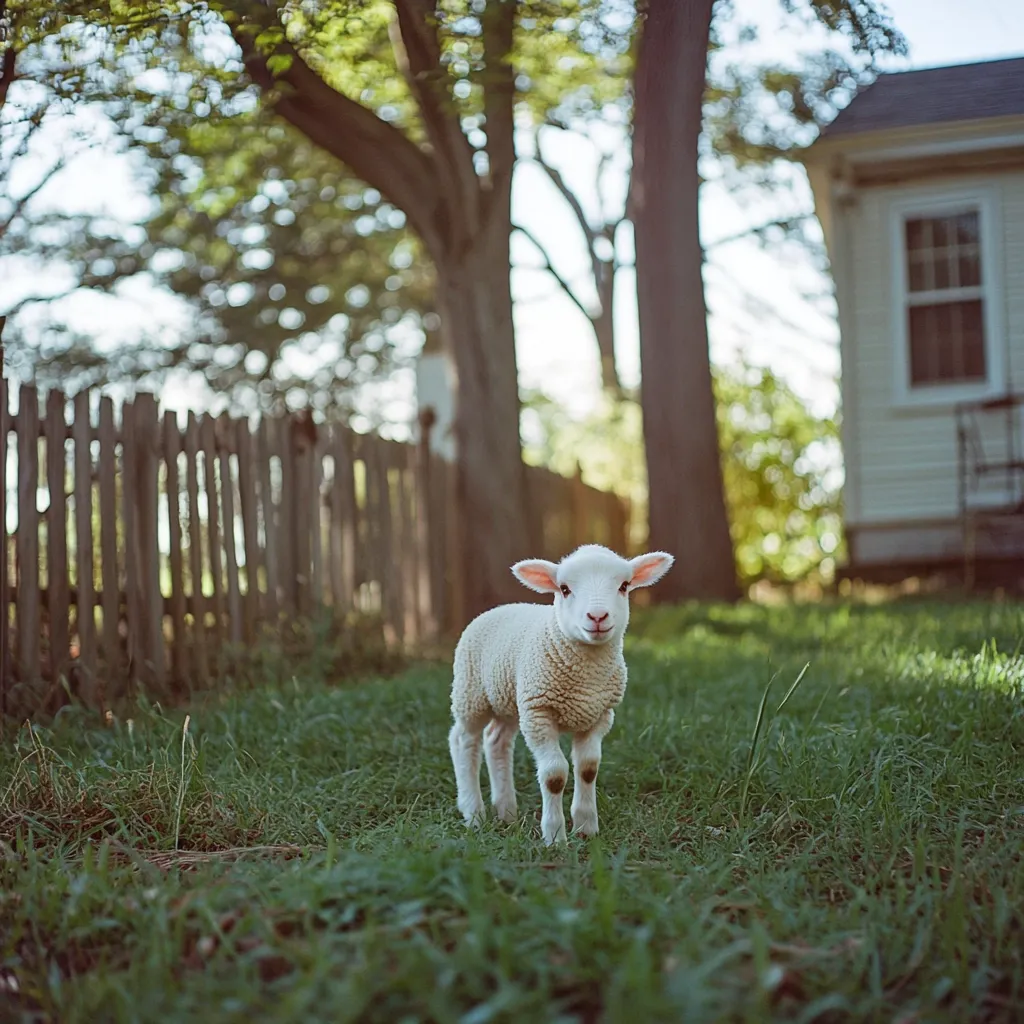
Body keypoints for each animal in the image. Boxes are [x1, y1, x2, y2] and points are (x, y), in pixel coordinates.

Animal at [448, 543, 675, 845]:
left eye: (624, 586)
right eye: (564, 589)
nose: (597, 617)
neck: (585, 680)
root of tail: (499, 607)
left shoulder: (600, 714)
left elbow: (588, 768)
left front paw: (586, 827)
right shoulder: (539, 713)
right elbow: (554, 775)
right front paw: (555, 837)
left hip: (510, 701)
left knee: (496, 740)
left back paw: (507, 812)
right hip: (471, 692)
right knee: (463, 741)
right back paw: (473, 813)